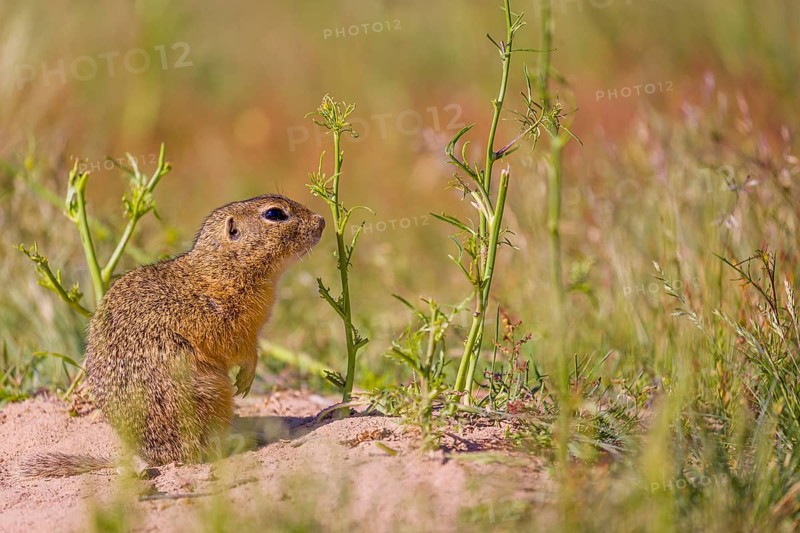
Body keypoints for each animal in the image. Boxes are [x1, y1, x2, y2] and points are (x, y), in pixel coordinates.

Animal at [21, 194, 325, 477]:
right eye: (274, 214)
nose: (321, 220)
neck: (222, 269)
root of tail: (155, 457)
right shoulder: (225, 325)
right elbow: (241, 350)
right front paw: (246, 378)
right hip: (212, 393)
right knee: (202, 452)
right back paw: (244, 439)